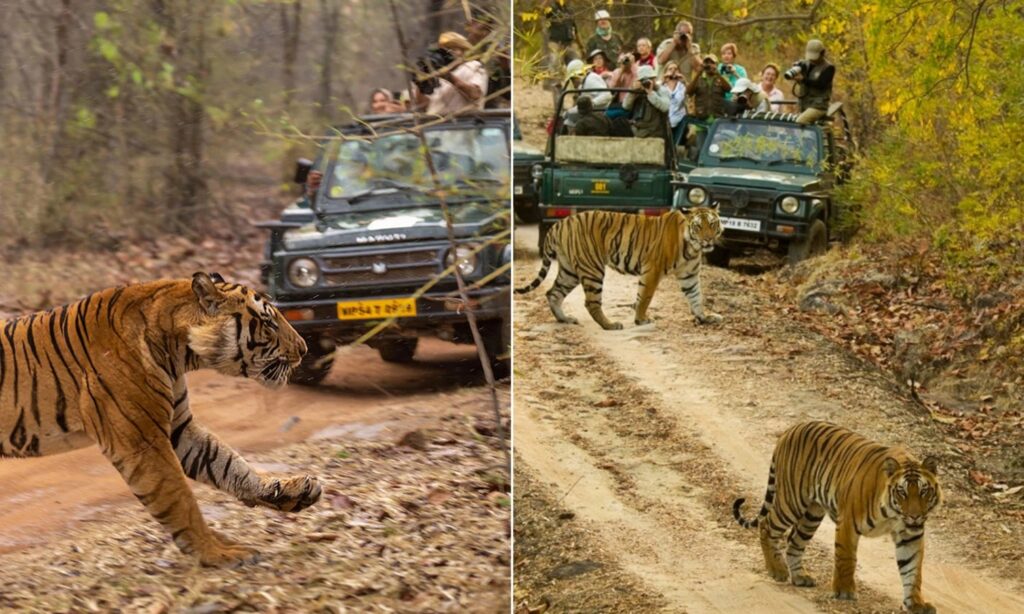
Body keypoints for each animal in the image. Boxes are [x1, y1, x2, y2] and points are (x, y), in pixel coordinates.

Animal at [0, 272, 321, 568]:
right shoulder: (142, 443)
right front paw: (217, 553)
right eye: (269, 322)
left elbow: (228, 464)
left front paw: (292, 491)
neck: (178, 351)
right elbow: (181, 500)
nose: (304, 349)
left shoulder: (179, 426)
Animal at [515, 207, 723, 330]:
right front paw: (641, 320)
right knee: (590, 302)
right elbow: (645, 297)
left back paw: (564, 319)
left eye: (712, 224)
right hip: (592, 268)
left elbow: (696, 297)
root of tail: (559, 224)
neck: (693, 247)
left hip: (569, 271)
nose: (708, 240)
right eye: (698, 226)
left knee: (553, 293)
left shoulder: (689, 275)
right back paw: (610, 325)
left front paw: (705, 317)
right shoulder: (652, 270)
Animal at [733, 421, 941, 614]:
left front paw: (916, 603)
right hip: (792, 501)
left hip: (812, 514)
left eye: (924, 491)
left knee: (794, 541)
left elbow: (912, 570)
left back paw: (800, 577)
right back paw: (777, 570)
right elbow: (846, 558)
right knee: (767, 525)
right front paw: (845, 592)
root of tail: (792, 428)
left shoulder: (910, 536)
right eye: (902, 492)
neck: (893, 515)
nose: (915, 516)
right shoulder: (848, 523)